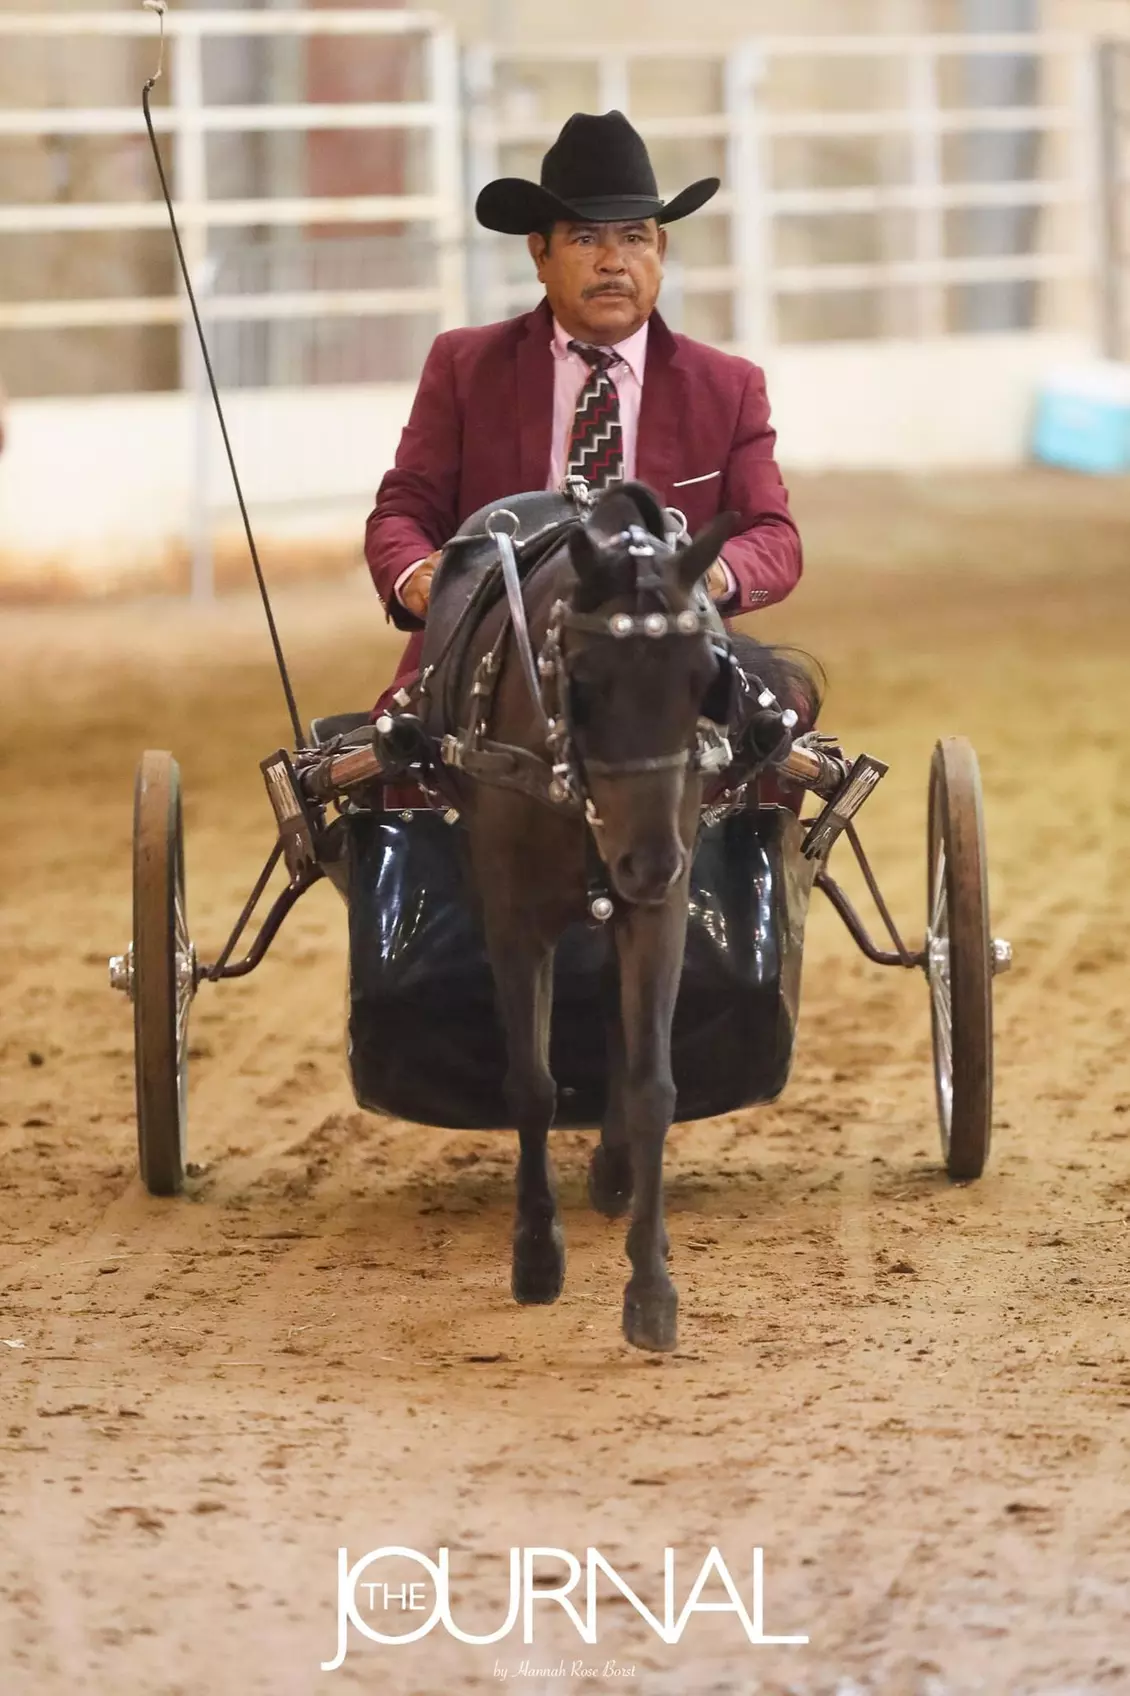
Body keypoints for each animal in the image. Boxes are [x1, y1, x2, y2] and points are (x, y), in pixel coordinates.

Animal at [413, 480, 820, 1352]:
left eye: (703, 679)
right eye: (586, 679)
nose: (649, 861)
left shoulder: (658, 909)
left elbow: (652, 1083)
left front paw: (652, 1287)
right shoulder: (514, 912)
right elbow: (531, 1083)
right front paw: (537, 1254)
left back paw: (618, 1172)